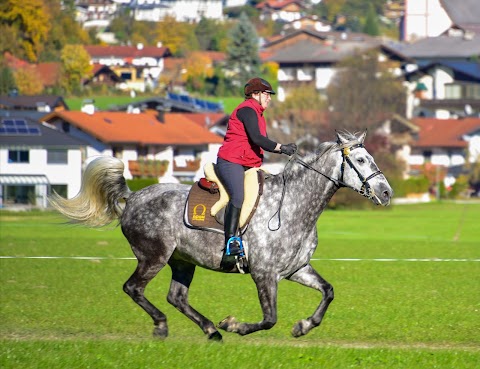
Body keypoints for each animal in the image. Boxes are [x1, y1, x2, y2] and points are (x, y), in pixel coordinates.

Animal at [50, 131, 392, 340]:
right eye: (360, 160)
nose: (387, 192)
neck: (295, 206)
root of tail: (133, 197)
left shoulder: (296, 269)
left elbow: (328, 292)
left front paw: (303, 326)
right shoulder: (264, 274)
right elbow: (269, 318)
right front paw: (233, 325)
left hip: (182, 261)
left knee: (176, 297)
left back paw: (210, 331)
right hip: (153, 256)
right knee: (133, 288)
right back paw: (163, 326)